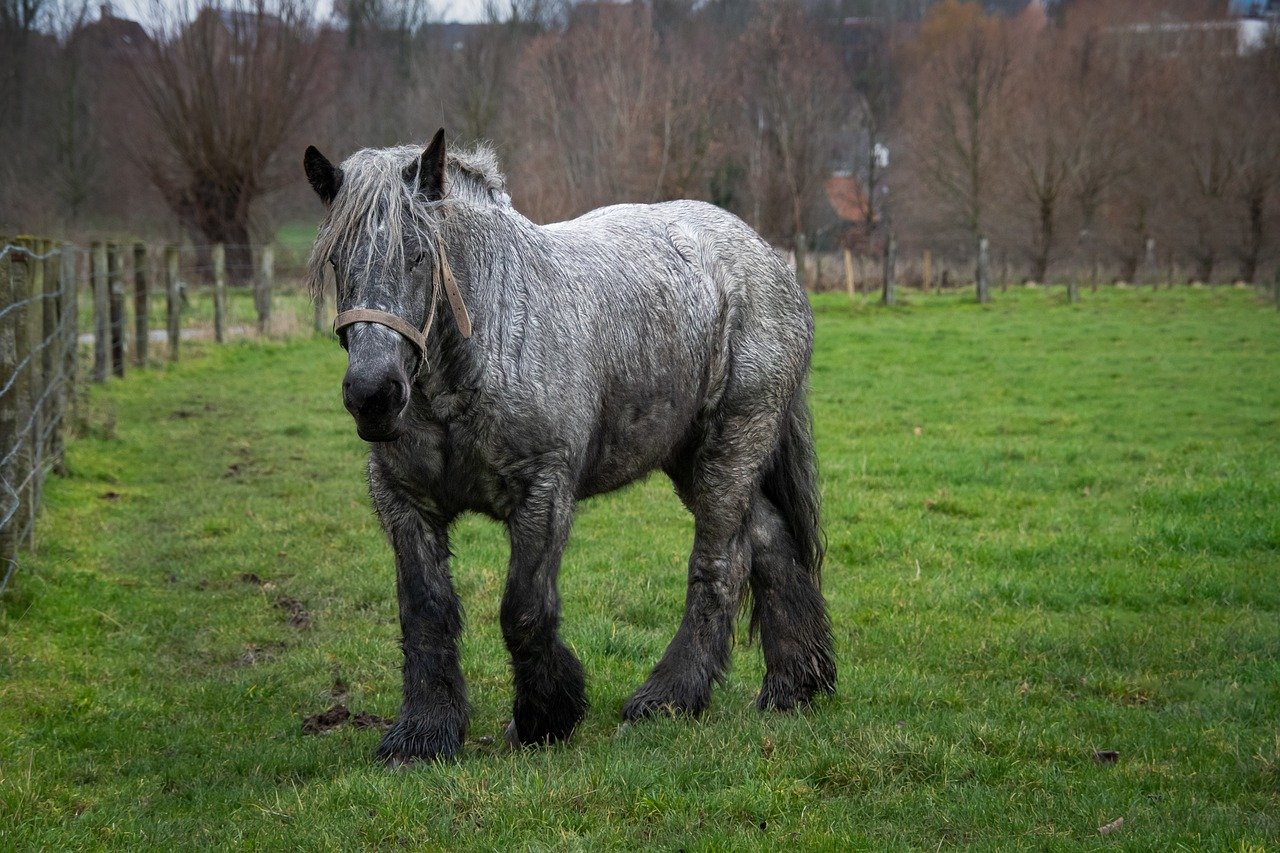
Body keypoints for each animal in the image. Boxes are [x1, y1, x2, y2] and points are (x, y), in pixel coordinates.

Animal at [303, 129, 835, 763]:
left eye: (418, 254)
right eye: (338, 260)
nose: (374, 394)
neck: (490, 339)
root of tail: (766, 256)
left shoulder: (544, 493)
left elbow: (524, 609)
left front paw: (544, 717)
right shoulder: (404, 503)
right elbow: (425, 610)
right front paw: (424, 732)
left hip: (732, 447)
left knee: (720, 564)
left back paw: (669, 698)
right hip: (694, 458)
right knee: (771, 543)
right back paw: (794, 685)